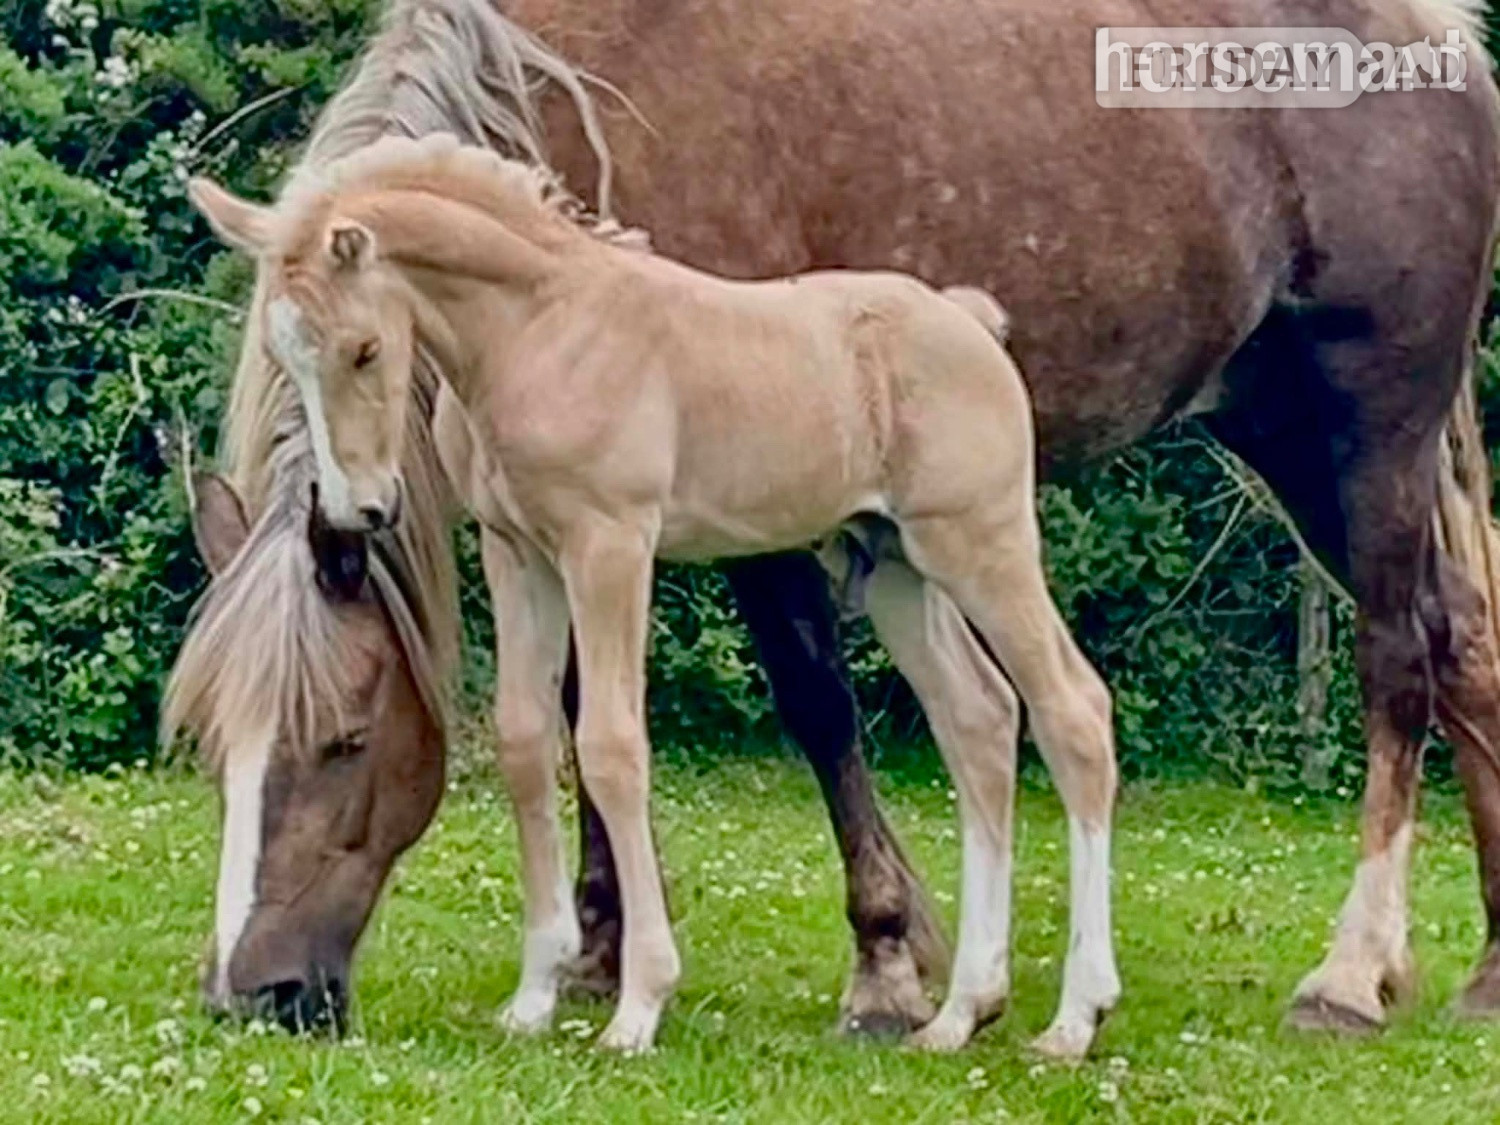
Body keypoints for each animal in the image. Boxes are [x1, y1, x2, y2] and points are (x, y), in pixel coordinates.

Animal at [171, 0, 1500, 1053]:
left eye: (343, 740)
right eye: (210, 744)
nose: (256, 995)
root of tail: (1445, 41)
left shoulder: (677, 534)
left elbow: (784, 710)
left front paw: (868, 964)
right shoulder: (542, 547)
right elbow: (546, 729)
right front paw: (583, 964)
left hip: (1362, 429)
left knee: (1379, 663)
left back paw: (1335, 979)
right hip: (1266, 434)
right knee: (1456, 647)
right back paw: (1475, 977)